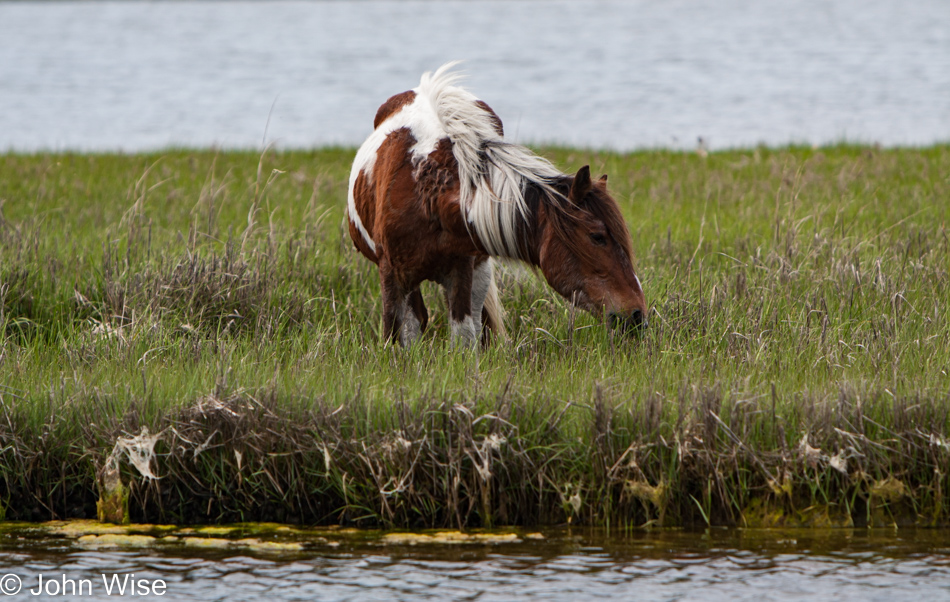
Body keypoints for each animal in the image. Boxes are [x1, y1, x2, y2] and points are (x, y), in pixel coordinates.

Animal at [346, 62, 652, 344]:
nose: (637, 315)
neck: (429, 197)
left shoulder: (462, 269)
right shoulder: (394, 276)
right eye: (597, 237)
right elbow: (400, 335)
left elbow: (463, 336)